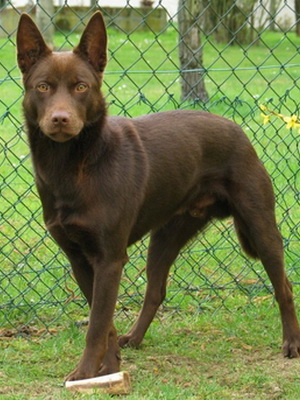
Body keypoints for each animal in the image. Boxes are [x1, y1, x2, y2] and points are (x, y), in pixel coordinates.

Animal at [17, 13, 300, 382]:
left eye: (81, 87)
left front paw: (87, 373)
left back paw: (291, 343)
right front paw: (111, 367)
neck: (74, 166)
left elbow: (97, 324)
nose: (60, 119)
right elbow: (103, 320)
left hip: (260, 225)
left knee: (283, 286)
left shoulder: (109, 258)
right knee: (156, 290)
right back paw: (135, 339)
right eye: (43, 87)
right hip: (166, 235)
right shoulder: (79, 258)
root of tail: (236, 128)